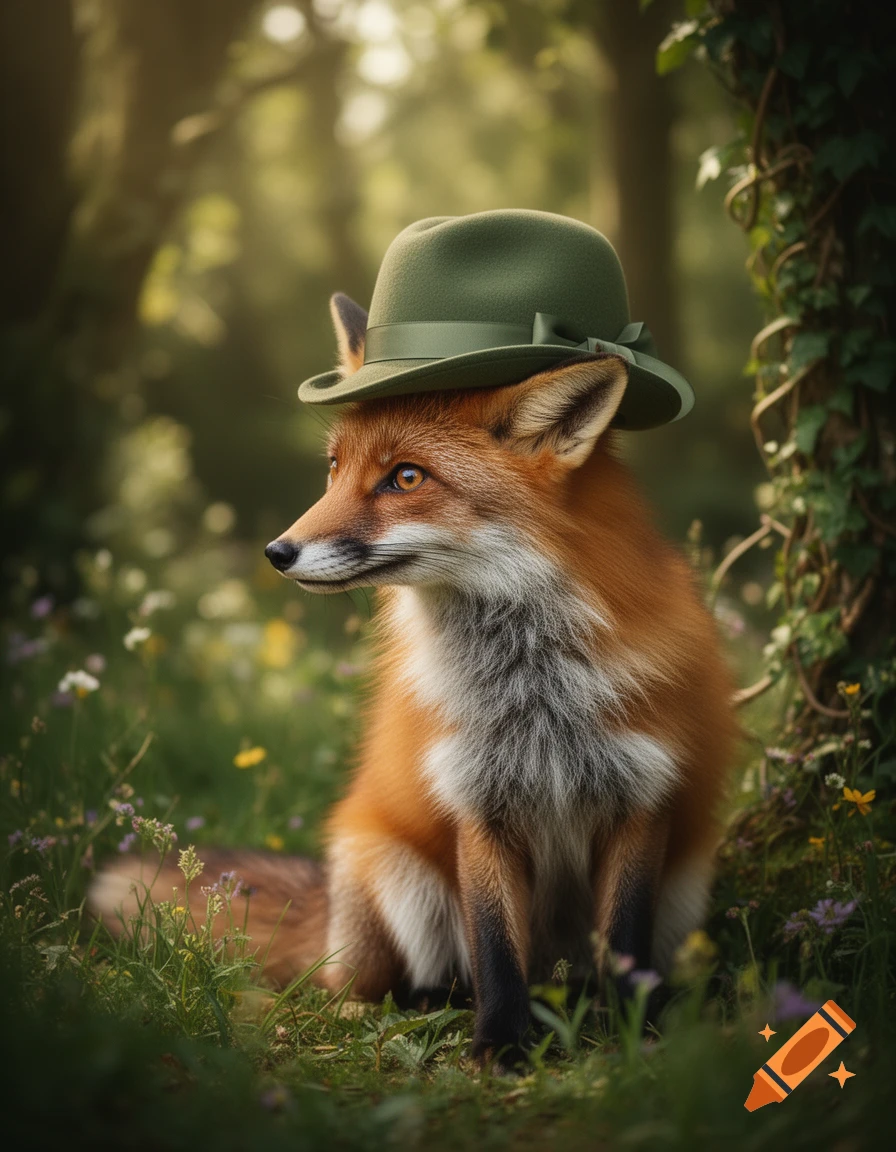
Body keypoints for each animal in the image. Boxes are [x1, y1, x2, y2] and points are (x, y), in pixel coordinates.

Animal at [91, 291, 737, 1069]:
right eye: (333, 468)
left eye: (405, 477)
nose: (278, 552)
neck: (535, 692)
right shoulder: (476, 801)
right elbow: (495, 947)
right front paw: (500, 1044)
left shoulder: (642, 798)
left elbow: (628, 946)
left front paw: (635, 1035)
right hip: (392, 872)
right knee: (359, 992)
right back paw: (428, 1005)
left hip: (685, 885)